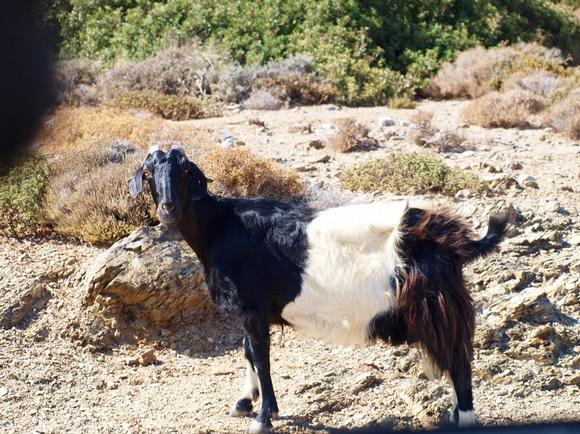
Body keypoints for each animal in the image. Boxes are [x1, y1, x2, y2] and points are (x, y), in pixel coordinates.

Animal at [129, 147, 510, 434]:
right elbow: (248, 352)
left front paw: (264, 416)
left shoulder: (251, 308)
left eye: (184, 172)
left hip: (436, 308)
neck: (220, 226)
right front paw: (244, 402)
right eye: (148, 174)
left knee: (459, 361)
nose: (168, 209)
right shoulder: (248, 312)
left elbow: (260, 356)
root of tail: (455, 239)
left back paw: (464, 418)